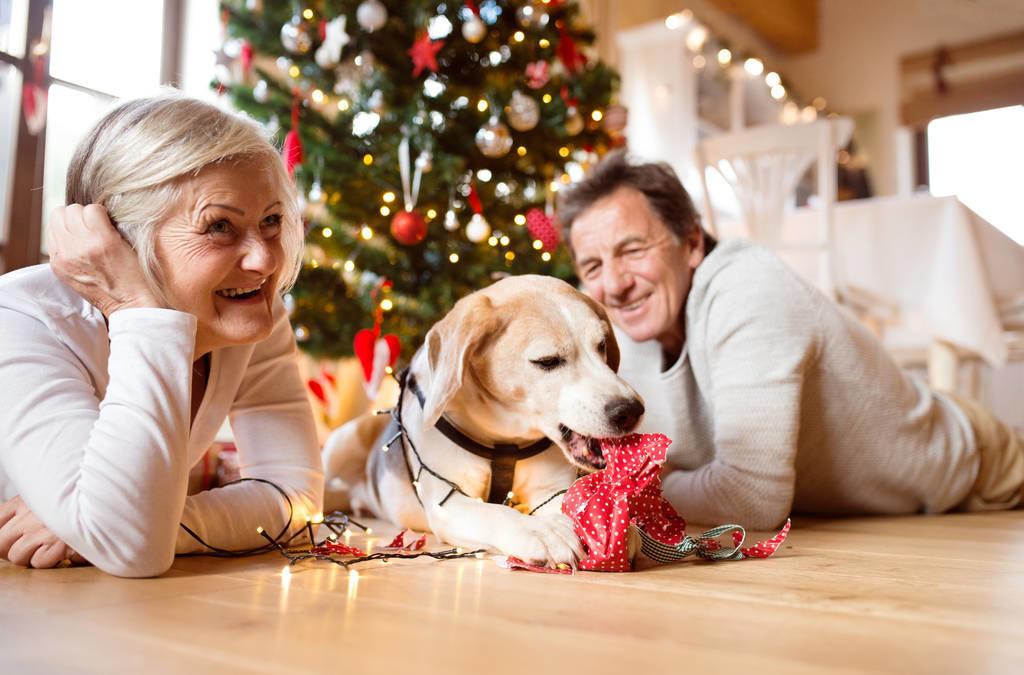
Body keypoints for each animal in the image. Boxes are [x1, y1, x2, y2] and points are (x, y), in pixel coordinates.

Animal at [319, 274, 643, 565]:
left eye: (601, 346)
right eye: (548, 361)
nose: (631, 411)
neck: (506, 438)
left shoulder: (551, 489)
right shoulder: (446, 501)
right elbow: (495, 511)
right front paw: (538, 531)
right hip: (341, 442)